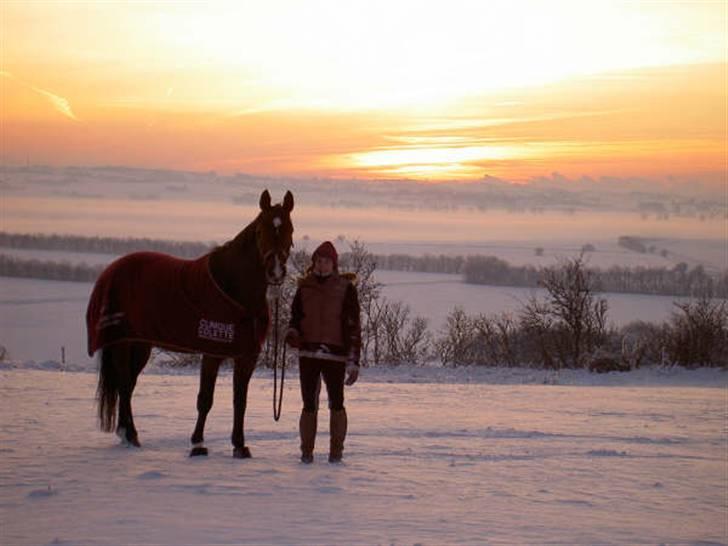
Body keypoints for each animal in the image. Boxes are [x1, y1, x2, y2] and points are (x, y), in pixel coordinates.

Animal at [85, 189, 290, 456]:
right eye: (260, 231)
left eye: (289, 229)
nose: (275, 271)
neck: (233, 289)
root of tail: (113, 268)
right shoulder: (213, 351)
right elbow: (205, 399)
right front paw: (198, 443)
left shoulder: (247, 356)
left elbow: (240, 400)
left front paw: (239, 445)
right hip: (122, 344)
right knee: (124, 384)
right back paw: (130, 435)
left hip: (140, 345)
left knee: (127, 385)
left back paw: (127, 434)